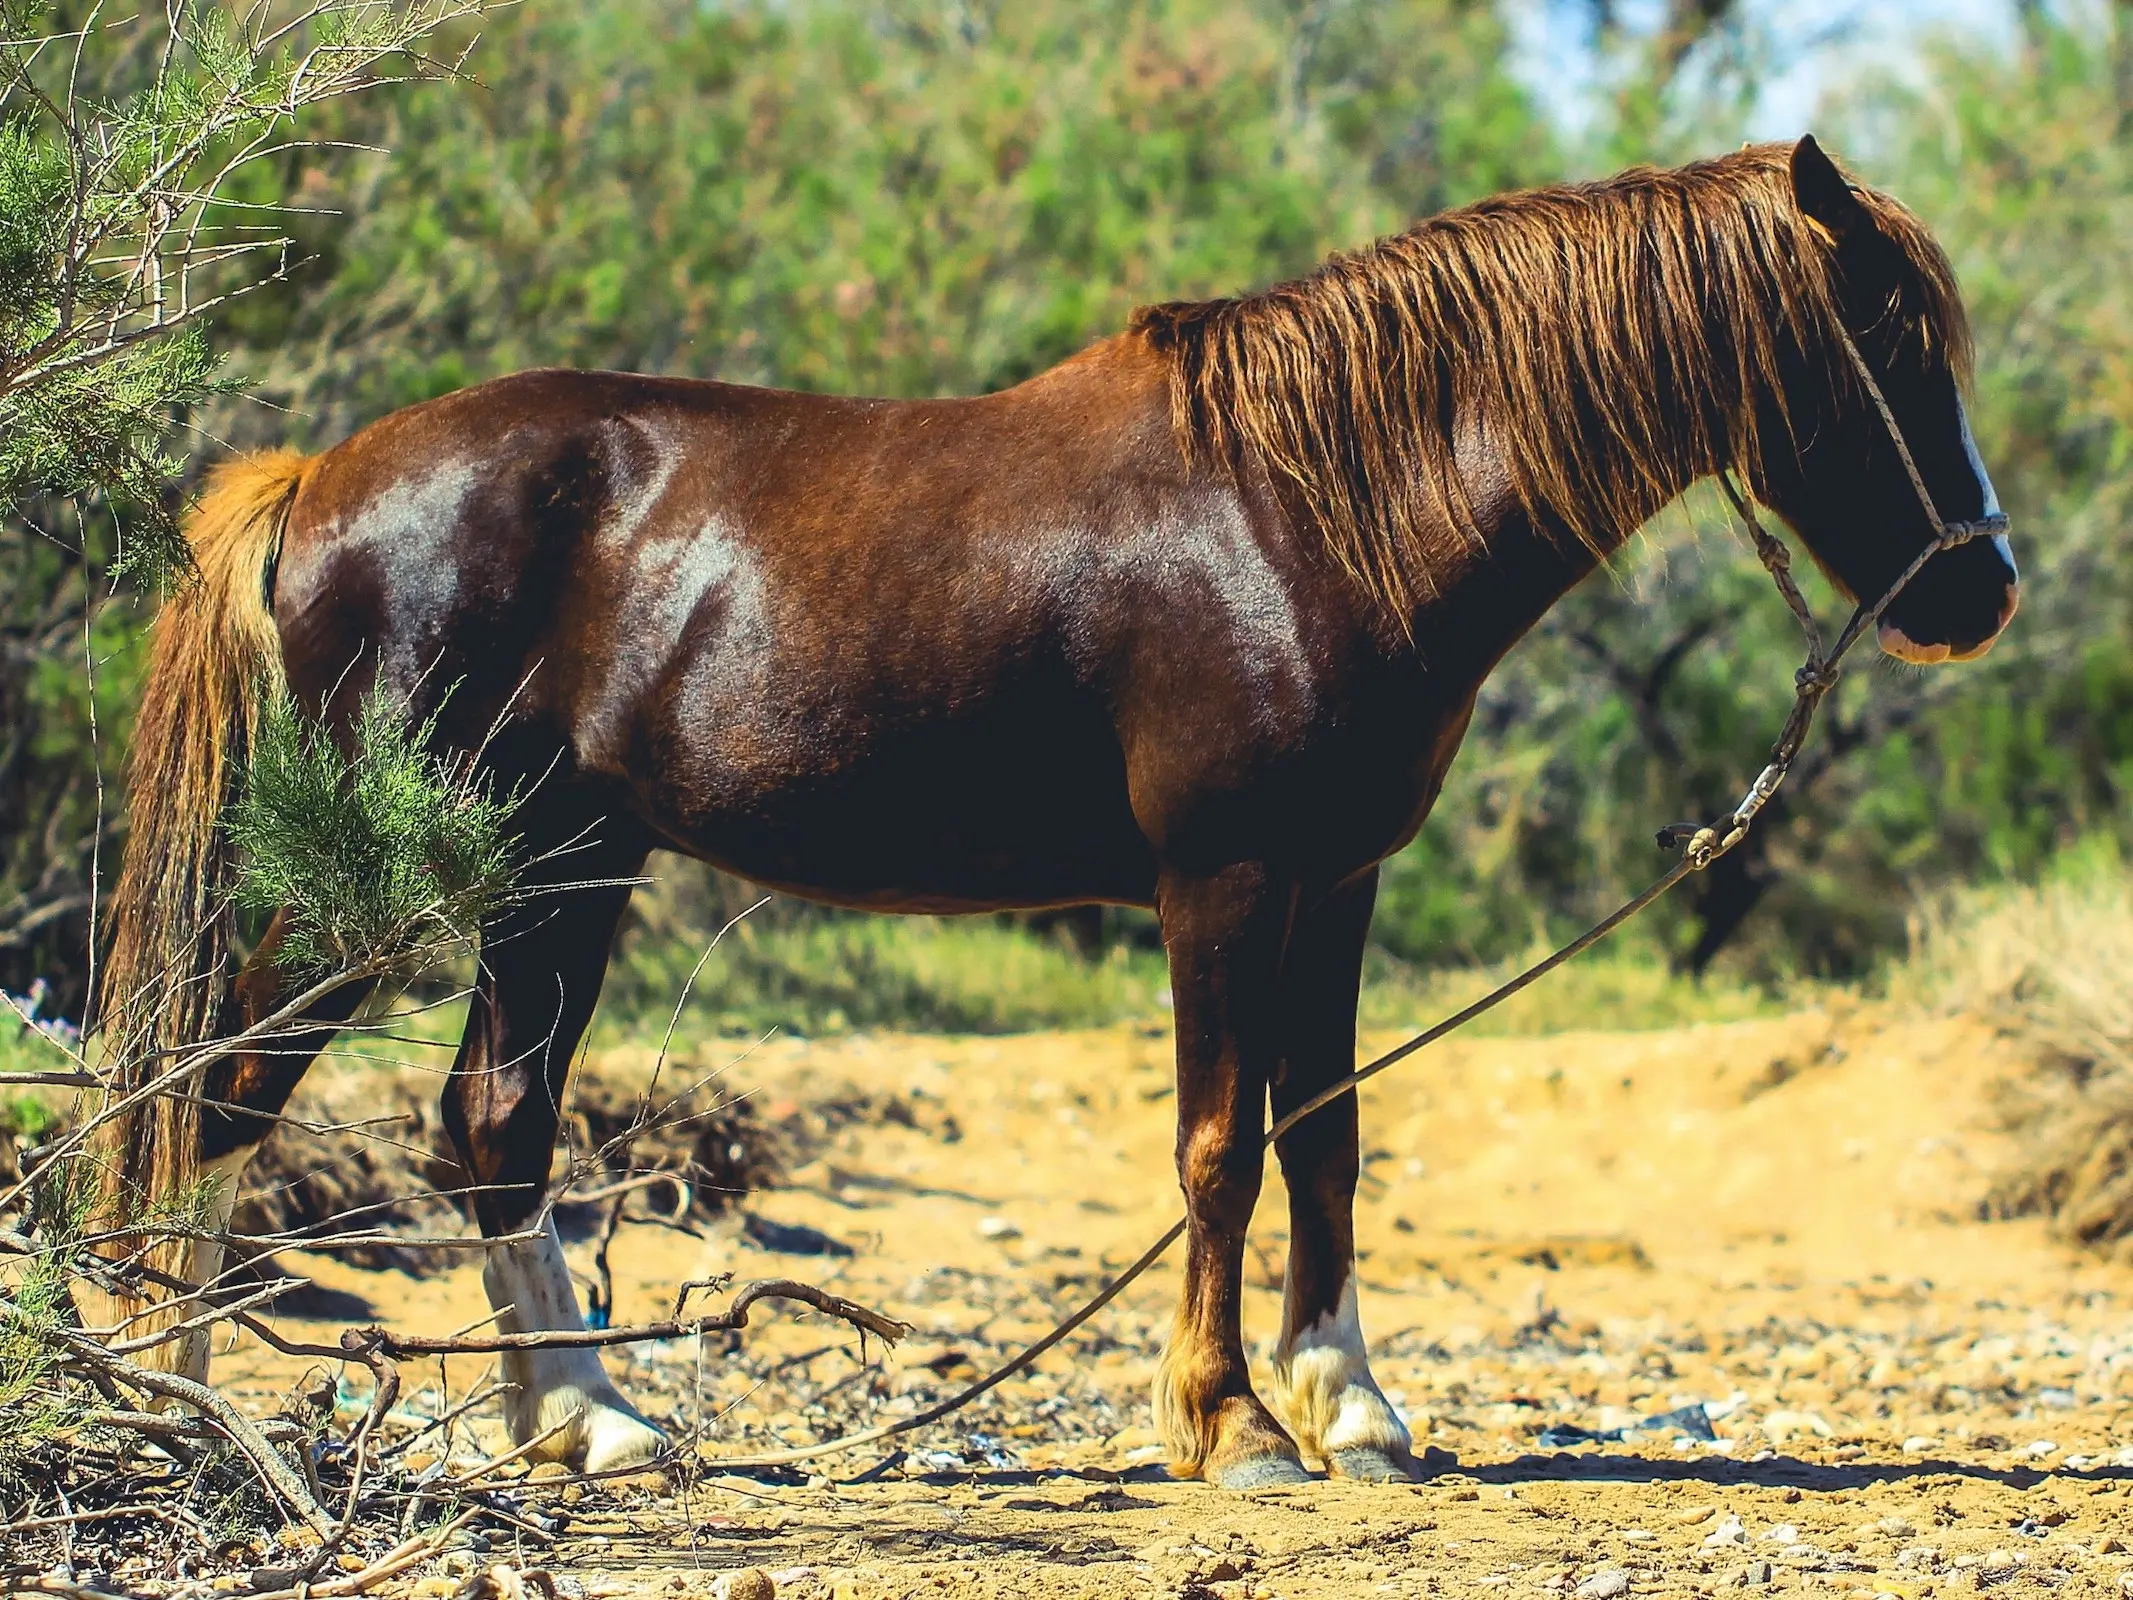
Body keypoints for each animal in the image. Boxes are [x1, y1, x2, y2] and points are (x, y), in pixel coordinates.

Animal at [87, 137, 2013, 1493]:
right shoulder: (1220, 879)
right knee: (227, 1086)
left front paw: (1352, 1409)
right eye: (1882, 349)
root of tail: (319, 482)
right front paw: (1228, 1426)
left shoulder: (1337, 884)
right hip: (400, 880)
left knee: (486, 1119)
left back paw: (588, 1425)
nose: (1977, 589)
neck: (1306, 506)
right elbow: (1218, 1149)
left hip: (562, 870)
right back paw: (167, 1403)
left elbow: (1324, 1136)